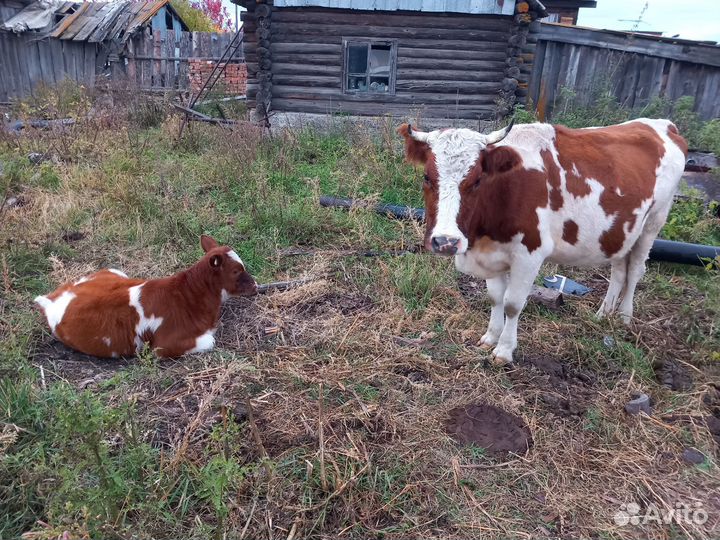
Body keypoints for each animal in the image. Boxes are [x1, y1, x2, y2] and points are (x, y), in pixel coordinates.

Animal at [34, 235, 257, 359]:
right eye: (236, 271)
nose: (256, 285)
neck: (189, 295)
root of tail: (54, 298)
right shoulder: (165, 344)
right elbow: (210, 341)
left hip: (114, 271)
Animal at [398, 118, 688, 365]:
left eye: (477, 180)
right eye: (427, 177)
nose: (445, 241)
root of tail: (663, 124)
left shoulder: (530, 253)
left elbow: (513, 304)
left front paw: (504, 350)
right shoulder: (491, 252)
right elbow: (495, 298)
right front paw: (490, 337)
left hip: (653, 224)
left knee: (636, 270)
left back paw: (625, 317)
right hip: (620, 231)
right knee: (619, 270)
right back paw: (604, 314)